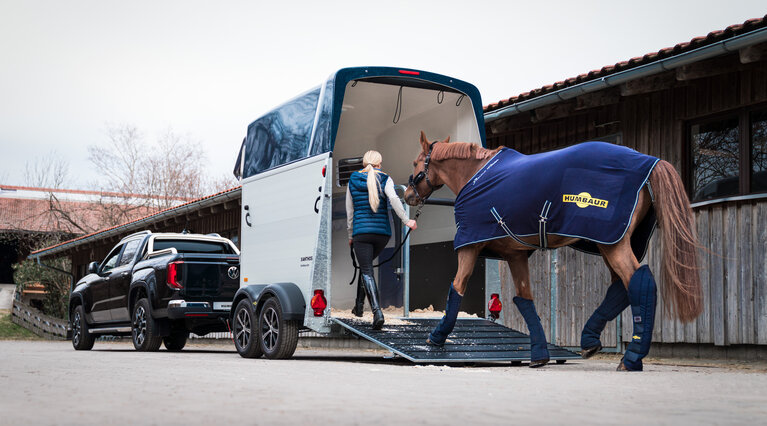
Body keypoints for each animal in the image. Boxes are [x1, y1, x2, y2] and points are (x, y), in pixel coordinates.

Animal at [404, 131, 704, 372]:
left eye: (416, 163)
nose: (408, 195)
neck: (476, 177)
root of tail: (647, 162)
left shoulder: (469, 246)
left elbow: (457, 287)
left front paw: (436, 337)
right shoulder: (515, 255)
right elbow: (525, 300)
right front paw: (539, 355)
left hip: (612, 244)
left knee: (640, 283)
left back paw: (630, 359)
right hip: (608, 243)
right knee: (620, 287)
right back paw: (590, 341)